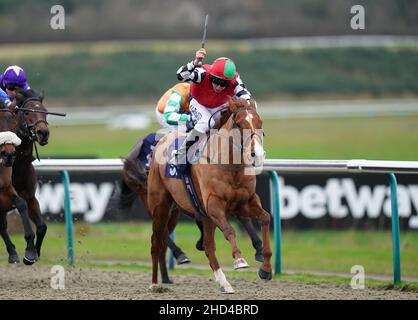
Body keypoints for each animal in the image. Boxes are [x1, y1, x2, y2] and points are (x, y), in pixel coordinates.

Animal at [146, 97, 272, 292]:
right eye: (239, 124)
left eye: (260, 122)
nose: (257, 154)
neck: (231, 167)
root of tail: (161, 141)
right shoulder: (214, 205)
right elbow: (229, 230)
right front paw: (239, 260)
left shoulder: (245, 202)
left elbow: (265, 218)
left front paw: (265, 268)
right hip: (161, 207)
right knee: (156, 242)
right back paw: (154, 284)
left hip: (195, 215)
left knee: (208, 247)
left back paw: (224, 283)